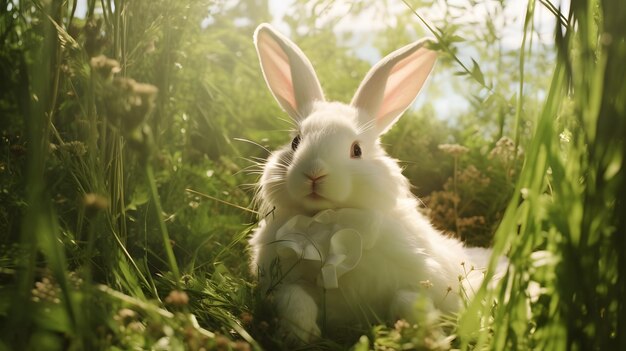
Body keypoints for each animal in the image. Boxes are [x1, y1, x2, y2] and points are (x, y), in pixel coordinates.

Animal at [246, 23, 490, 346]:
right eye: (295, 141)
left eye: (357, 150)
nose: (314, 173)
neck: (327, 221)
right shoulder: (282, 281)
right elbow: (294, 299)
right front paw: (300, 336)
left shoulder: (420, 280)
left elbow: (407, 301)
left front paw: (431, 339)